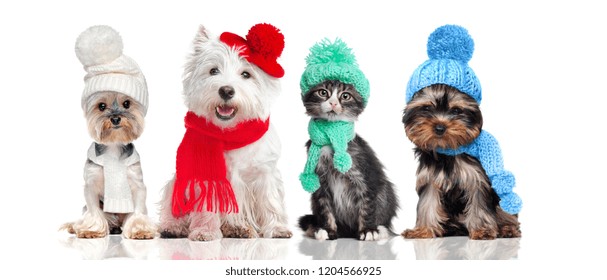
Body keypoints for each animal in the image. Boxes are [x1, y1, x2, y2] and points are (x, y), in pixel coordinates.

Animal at [60, 26, 157, 240]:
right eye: (101, 106)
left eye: (127, 103)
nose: (115, 118)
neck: (114, 144)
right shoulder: (91, 183)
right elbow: (93, 210)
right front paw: (90, 229)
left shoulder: (136, 183)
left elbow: (139, 210)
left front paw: (140, 229)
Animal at [158, 23, 294, 241]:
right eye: (213, 70)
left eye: (246, 74)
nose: (226, 91)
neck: (230, 132)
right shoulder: (207, 179)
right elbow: (207, 207)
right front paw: (204, 231)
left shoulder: (265, 172)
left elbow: (270, 201)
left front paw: (277, 228)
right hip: (176, 184)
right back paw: (174, 227)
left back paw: (238, 228)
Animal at [298, 79, 400, 241]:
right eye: (323, 92)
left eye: (345, 96)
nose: (333, 103)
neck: (332, 140)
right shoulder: (320, 185)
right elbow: (325, 209)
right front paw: (328, 230)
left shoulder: (366, 177)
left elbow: (367, 205)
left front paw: (368, 230)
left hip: (386, 191)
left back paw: (381, 230)